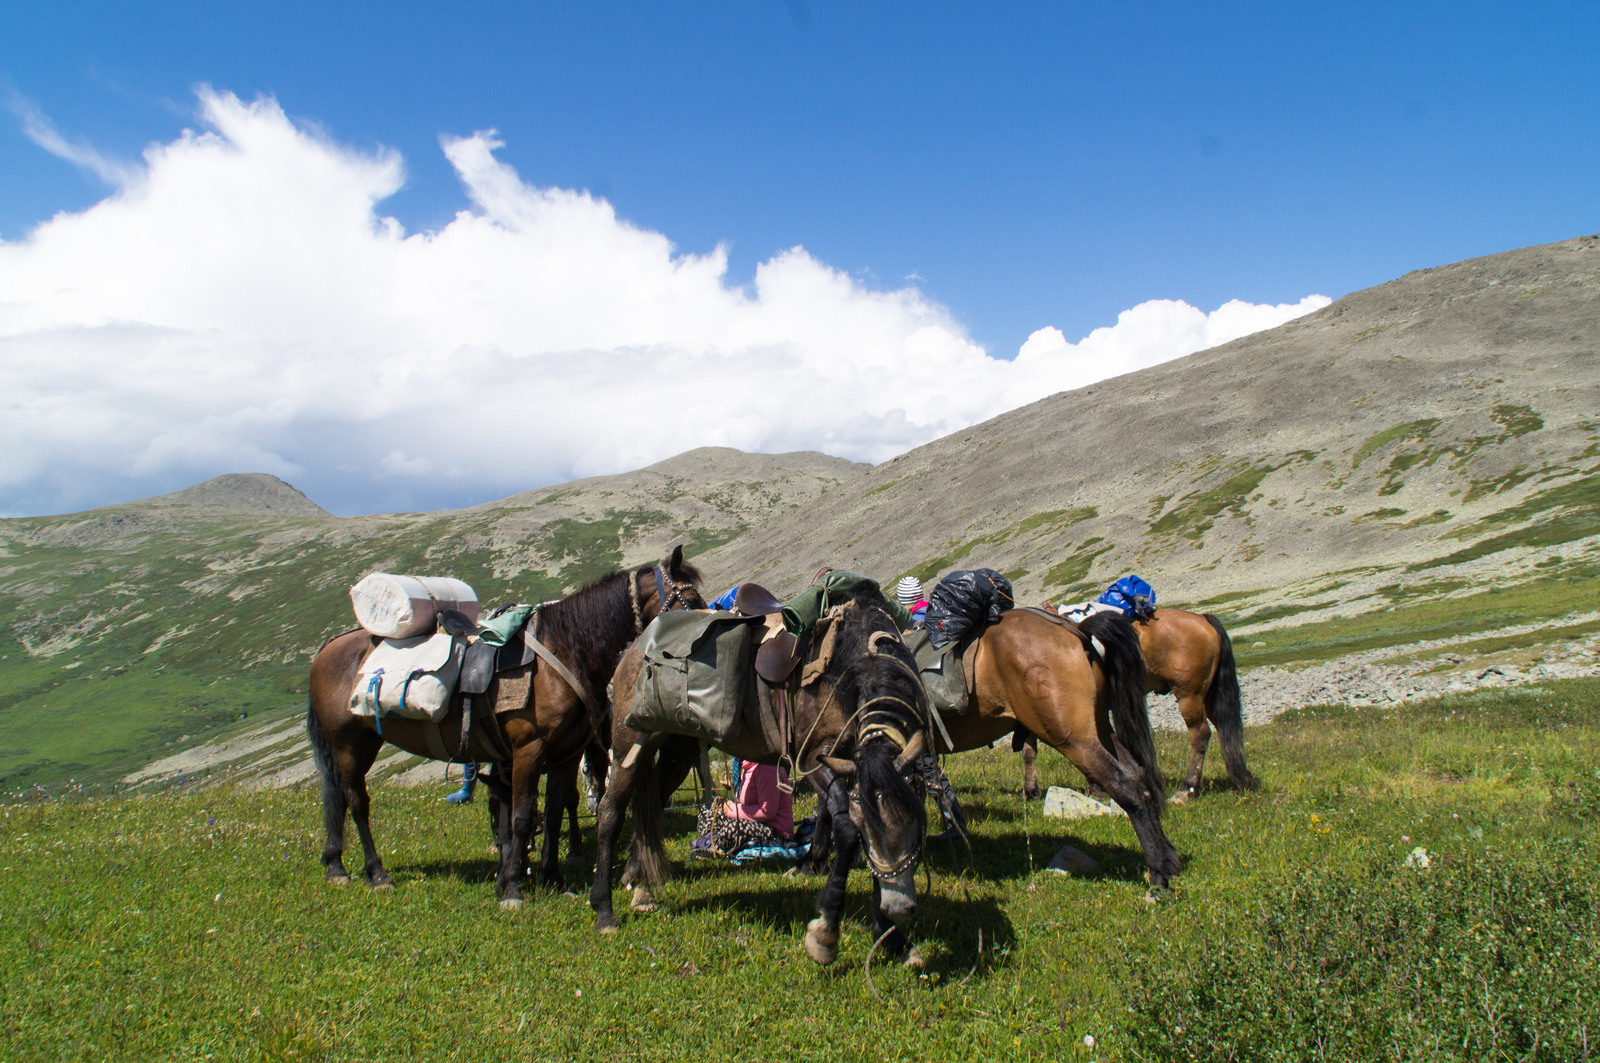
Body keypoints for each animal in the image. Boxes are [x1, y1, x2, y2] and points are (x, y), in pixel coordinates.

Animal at [304, 547, 700, 902]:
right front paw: (512, 886)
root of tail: (328, 648)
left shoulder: (566, 754)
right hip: (348, 743)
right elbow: (523, 815)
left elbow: (554, 811)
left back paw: (336, 865)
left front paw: (553, 878)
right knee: (356, 801)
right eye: (692, 599)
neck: (569, 648)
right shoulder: (528, 750)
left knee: (339, 796)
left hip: (362, 741)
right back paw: (376, 872)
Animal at [588, 592, 934, 966]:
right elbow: (844, 827)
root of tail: (632, 650)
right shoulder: (812, 758)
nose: (899, 908)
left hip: (678, 749)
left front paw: (893, 939)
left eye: (917, 824)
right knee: (611, 812)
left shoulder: (854, 767)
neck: (849, 666)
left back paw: (642, 889)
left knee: (650, 810)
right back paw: (604, 910)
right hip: (629, 745)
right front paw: (827, 930)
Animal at [1024, 611, 1260, 800]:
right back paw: (1241, 780)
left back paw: (1186, 789)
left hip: (1189, 695)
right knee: (1225, 728)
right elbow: (1030, 750)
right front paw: (1031, 790)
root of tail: (1202, 618)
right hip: (1209, 693)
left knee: (1200, 735)